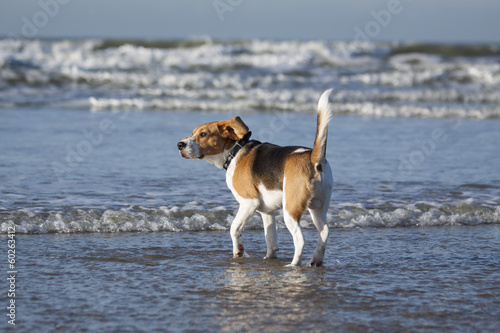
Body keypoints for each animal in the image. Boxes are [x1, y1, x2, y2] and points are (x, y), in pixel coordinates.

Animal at [178, 89, 334, 266]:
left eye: (203, 134)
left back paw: (293, 265)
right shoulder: (267, 211)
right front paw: (269, 259)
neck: (235, 151)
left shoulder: (249, 202)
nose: (179, 145)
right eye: (192, 133)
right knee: (324, 232)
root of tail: (313, 158)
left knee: (300, 240)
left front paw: (238, 251)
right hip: (318, 207)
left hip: (290, 210)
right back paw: (316, 260)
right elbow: (270, 238)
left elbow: (234, 228)